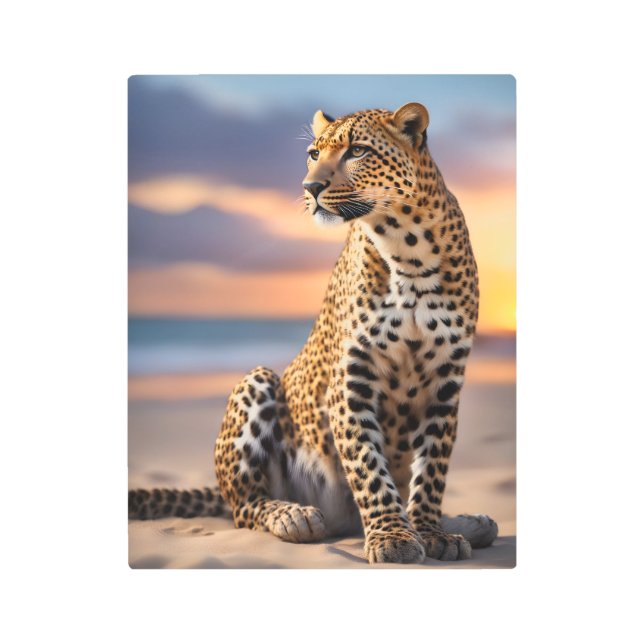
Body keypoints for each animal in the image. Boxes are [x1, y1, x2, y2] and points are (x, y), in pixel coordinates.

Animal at [129, 102, 498, 564]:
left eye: (357, 151)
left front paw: (430, 531)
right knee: (245, 506)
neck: (407, 249)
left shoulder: (446, 384)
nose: (311, 187)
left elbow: (431, 470)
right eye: (313, 153)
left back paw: (472, 522)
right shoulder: (350, 379)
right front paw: (393, 536)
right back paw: (293, 515)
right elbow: (368, 466)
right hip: (258, 384)